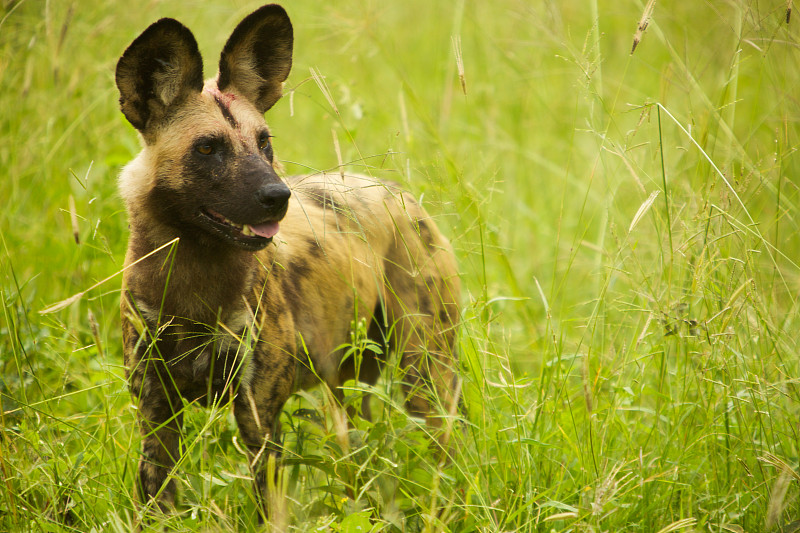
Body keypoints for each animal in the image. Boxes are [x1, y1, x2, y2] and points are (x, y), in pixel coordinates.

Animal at [115, 3, 460, 520]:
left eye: (264, 142)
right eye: (207, 148)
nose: (278, 196)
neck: (194, 287)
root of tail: (397, 193)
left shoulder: (259, 417)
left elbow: (272, 512)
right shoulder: (156, 416)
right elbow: (159, 504)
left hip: (426, 376)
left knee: (443, 462)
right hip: (347, 386)